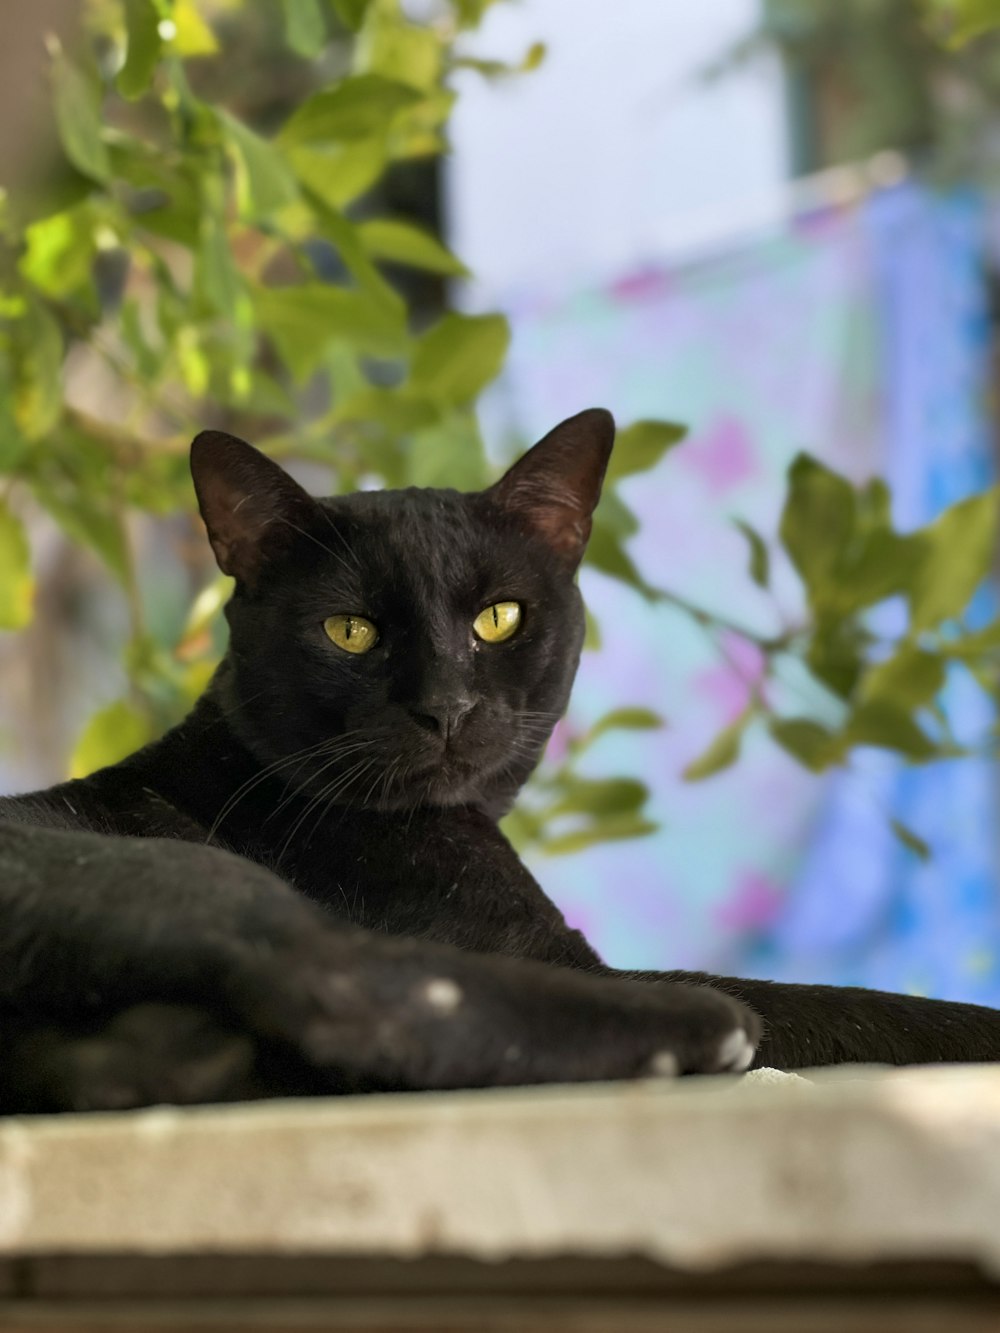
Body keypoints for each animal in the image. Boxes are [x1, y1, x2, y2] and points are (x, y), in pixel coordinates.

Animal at [1, 407, 1000, 1114]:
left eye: (499, 617)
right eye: (349, 629)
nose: (445, 705)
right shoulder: (549, 954)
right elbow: (856, 1002)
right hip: (195, 878)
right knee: (357, 997)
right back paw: (703, 1030)